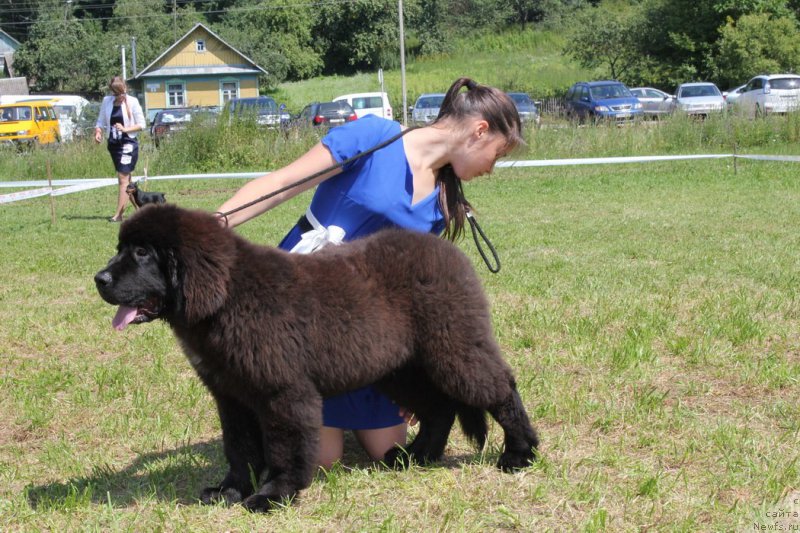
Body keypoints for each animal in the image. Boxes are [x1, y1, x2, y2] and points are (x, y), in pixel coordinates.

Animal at [97, 204, 540, 512]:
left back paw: (519, 454)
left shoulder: (282, 391)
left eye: (142, 253)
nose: (99, 279)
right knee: (439, 408)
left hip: (453, 348)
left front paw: (272, 496)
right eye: (120, 249)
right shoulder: (231, 395)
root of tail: (448, 251)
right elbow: (239, 448)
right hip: (401, 367)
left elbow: (284, 449)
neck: (226, 298)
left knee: (500, 389)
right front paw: (229, 490)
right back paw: (415, 456)